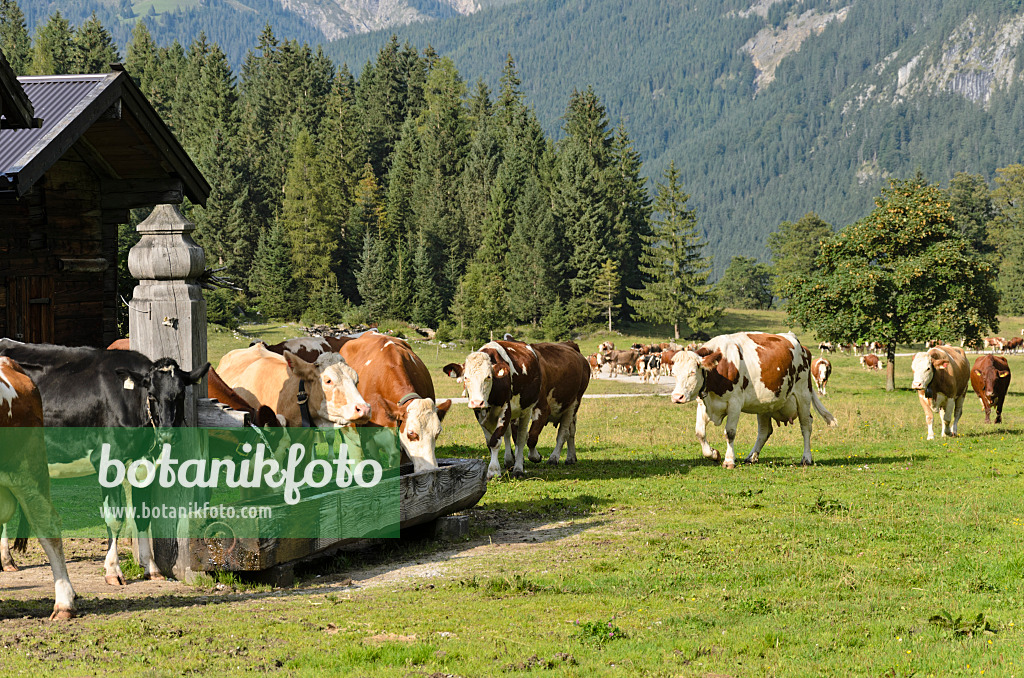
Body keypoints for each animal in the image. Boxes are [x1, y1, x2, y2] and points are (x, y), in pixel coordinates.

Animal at [0, 340, 209, 585]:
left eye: (180, 394)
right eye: (151, 394)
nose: (167, 434)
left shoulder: (143, 463)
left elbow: (142, 514)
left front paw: (151, 567)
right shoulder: (107, 461)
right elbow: (115, 518)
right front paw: (113, 570)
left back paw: (6, 560)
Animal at [440, 342, 544, 481]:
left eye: (488, 377)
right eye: (466, 377)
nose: (477, 402)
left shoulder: (506, 409)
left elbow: (495, 441)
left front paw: (493, 471)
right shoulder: (480, 415)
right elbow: (490, 441)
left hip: (526, 410)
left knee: (521, 438)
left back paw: (518, 468)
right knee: (508, 434)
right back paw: (509, 460)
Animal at [663, 331, 839, 471]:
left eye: (692, 372)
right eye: (674, 373)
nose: (677, 397)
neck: (720, 367)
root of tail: (798, 343)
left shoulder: (735, 404)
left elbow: (730, 433)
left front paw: (729, 460)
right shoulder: (704, 404)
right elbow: (699, 433)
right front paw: (714, 454)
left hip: (803, 394)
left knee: (806, 425)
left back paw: (806, 458)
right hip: (765, 404)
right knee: (765, 431)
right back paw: (751, 457)